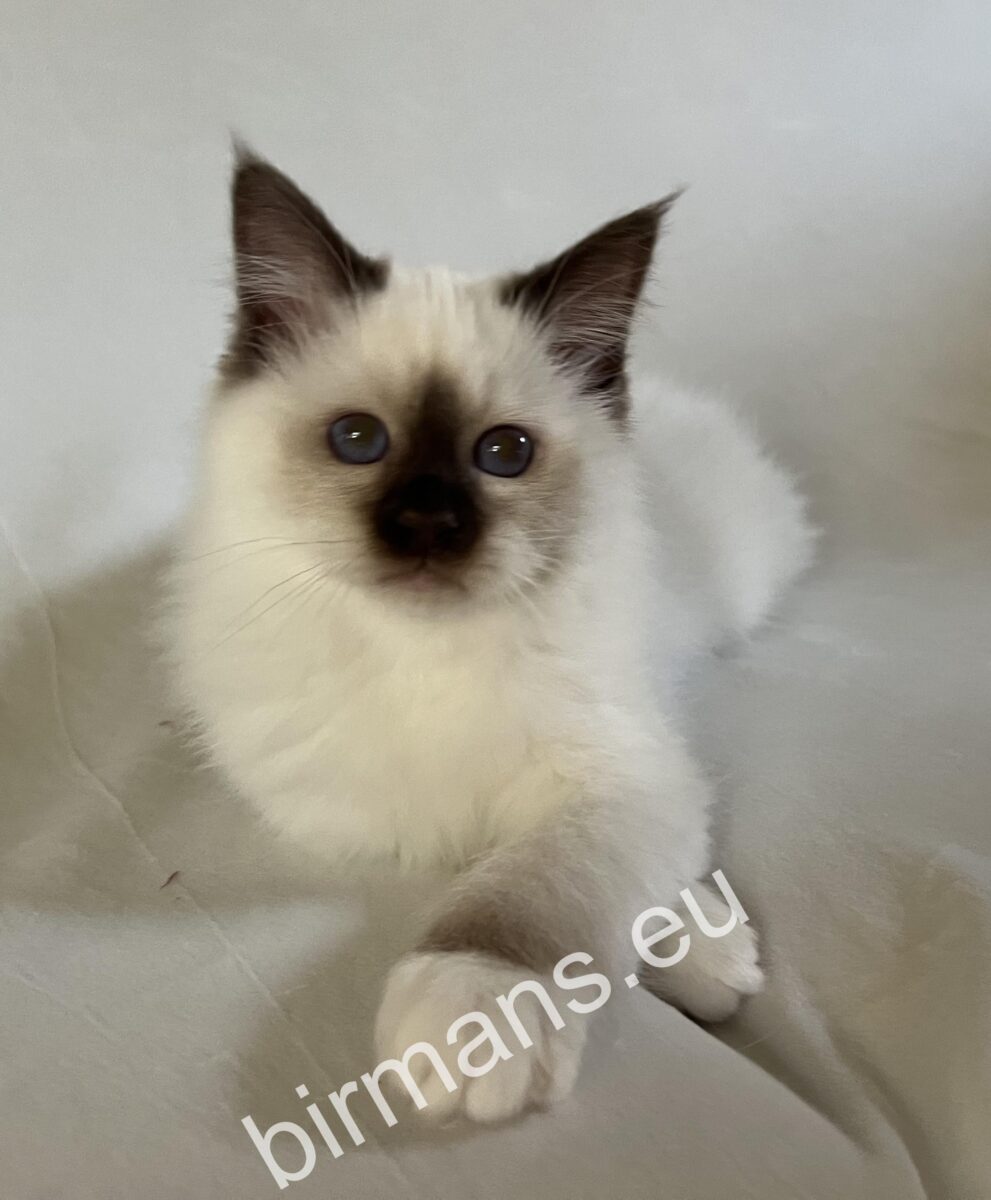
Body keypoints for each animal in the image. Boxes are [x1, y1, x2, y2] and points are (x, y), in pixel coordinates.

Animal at [165, 147, 813, 1123]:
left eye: (503, 455)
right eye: (357, 440)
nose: (429, 524)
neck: (427, 658)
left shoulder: (619, 775)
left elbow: (534, 888)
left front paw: (479, 1008)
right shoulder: (379, 820)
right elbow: (497, 869)